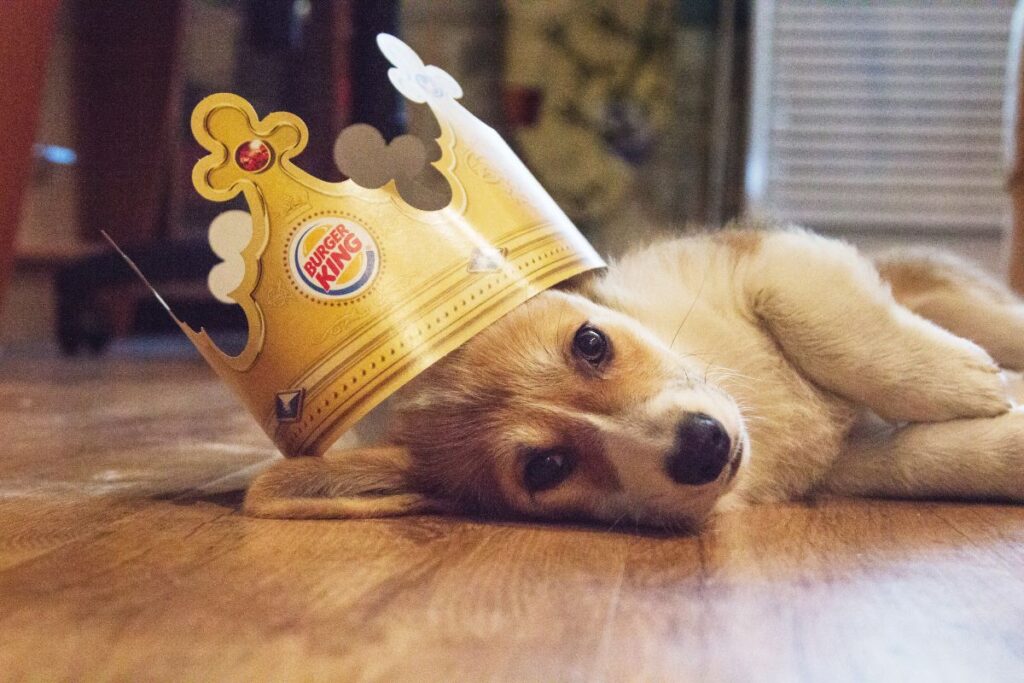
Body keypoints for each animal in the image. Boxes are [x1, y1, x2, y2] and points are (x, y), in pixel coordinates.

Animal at [241, 222, 1024, 532]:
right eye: (547, 467)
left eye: (591, 343)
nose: (705, 446)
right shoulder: (852, 460)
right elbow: (942, 457)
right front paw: (1001, 424)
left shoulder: (772, 262)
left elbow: (840, 333)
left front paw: (968, 380)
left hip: (957, 296)